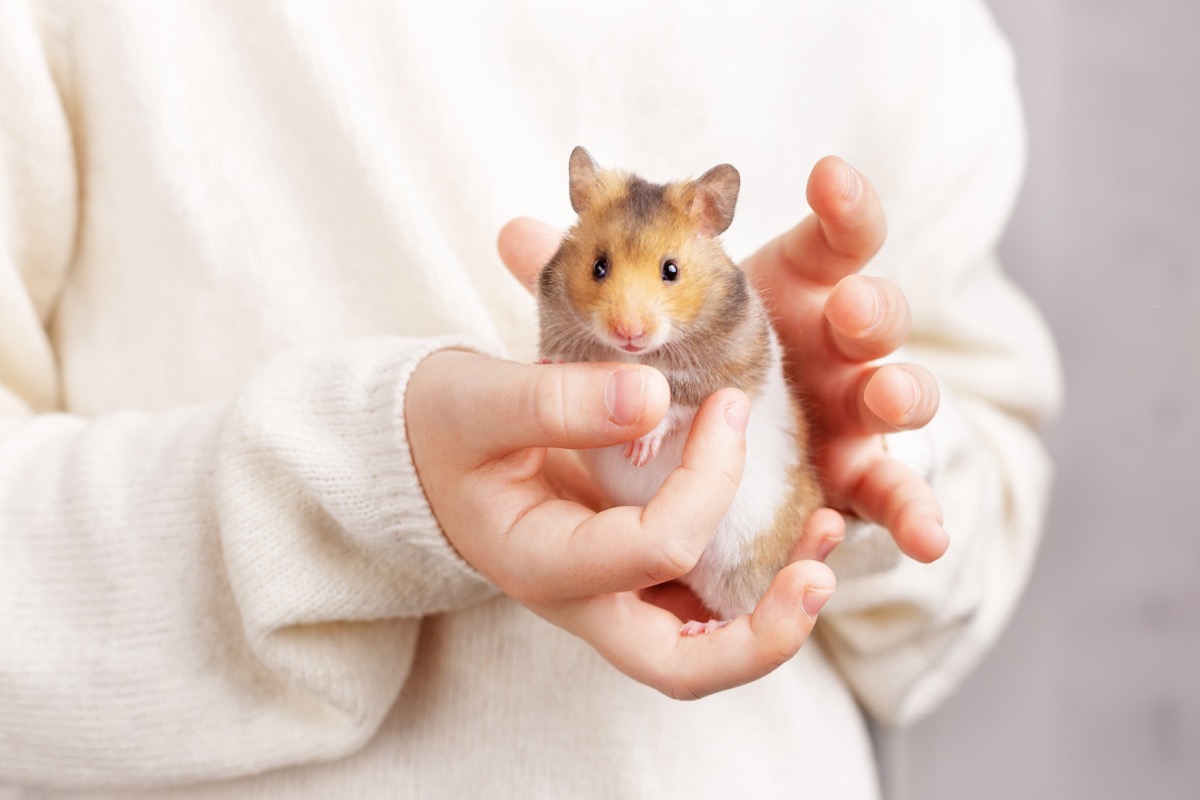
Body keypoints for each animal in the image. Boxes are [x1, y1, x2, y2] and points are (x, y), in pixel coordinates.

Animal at [537, 146, 823, 630]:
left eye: (671, 270)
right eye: (599, 266)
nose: (628, 332)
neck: (637, 356)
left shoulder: (724, 374)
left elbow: (679, 405)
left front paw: (639, 451)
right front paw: (543, 364)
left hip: (743, 557)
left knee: (748, 605)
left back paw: (702, 627)